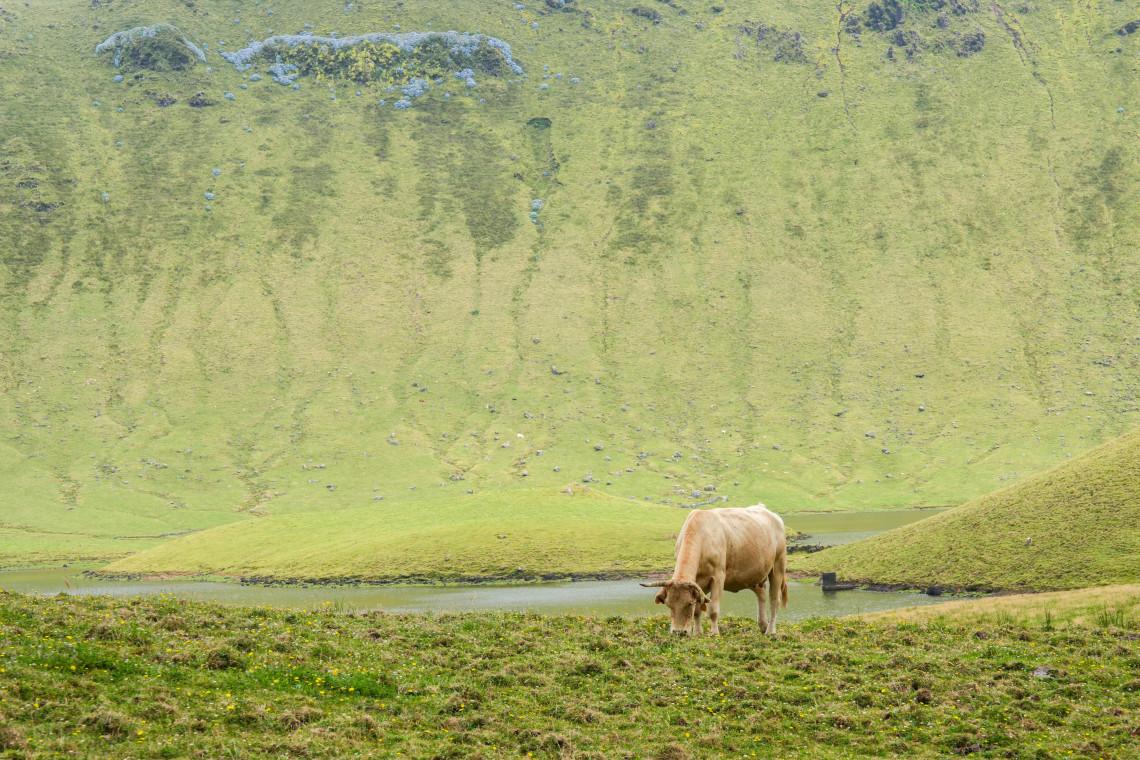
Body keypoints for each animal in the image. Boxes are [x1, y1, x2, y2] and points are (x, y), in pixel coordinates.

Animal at [641, 504, 788, 636]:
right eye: (668, 604)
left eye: (689, 603)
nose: (679, 632)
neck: (701, 535)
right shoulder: (699, 583)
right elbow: (698, 610)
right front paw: (697, 632)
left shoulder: (718, 577)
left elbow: (712, 610)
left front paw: (714, 633)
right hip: (753, 574)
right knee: (761, 594)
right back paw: (763, 625)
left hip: (778, 566)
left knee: (774, 600)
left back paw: (770, 630)